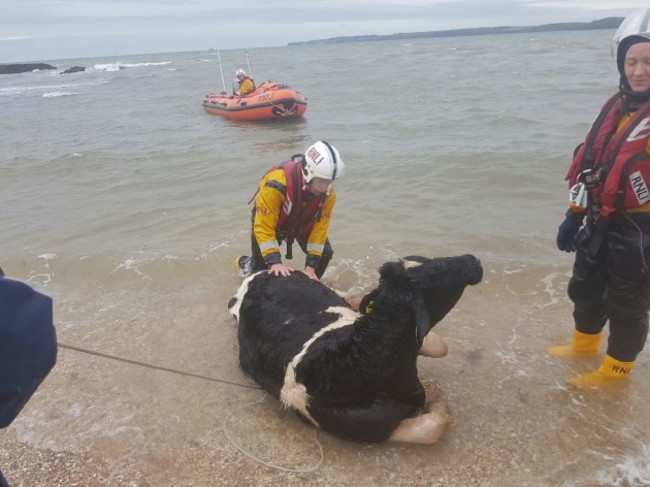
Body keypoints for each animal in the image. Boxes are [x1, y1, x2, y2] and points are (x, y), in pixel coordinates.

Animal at [228, 255, 480, 446]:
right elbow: (432, 426)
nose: (472, 259)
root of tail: (261, 272)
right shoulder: (367, 427)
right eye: (441, 267)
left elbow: (439, 345)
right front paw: (438, 404)